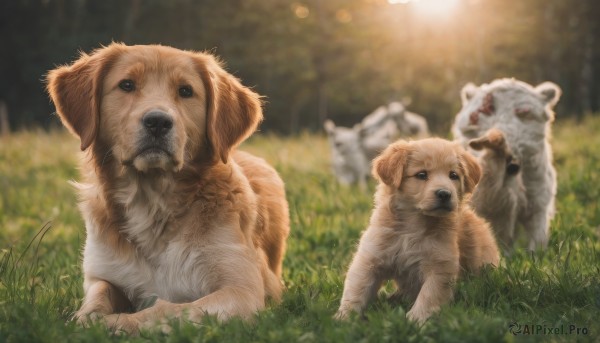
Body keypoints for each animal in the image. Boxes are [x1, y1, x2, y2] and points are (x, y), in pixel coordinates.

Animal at [47, 41, 290, 334]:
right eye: (127, 85)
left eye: (185, 91)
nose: (158, 122)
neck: (153, 203)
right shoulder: (101, 275)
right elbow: (95, 300)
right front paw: (84, 320)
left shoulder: (242, 288)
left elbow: (169, 309)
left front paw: (118, 322)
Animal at [336, 138, 500, 324]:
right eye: (422, 175)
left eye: (453, 175)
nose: (444, 194)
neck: (412, 228)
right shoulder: (370, 258)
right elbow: (357, 289)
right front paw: (344, 317)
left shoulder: (441, 267)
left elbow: (429, 294)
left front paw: (416, 319)